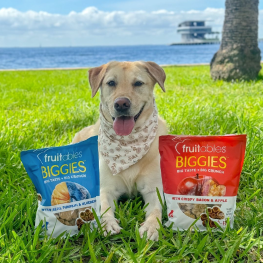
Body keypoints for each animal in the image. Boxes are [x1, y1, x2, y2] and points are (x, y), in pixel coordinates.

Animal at [72, 61, 167, 241]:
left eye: (138, 83)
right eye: (111, 83)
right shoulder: (106, 189)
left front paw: (151, 227)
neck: (127, 143)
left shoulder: (154, 190)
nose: (121, 103)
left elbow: (156, 211)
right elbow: (104, 207)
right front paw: (107, 224)